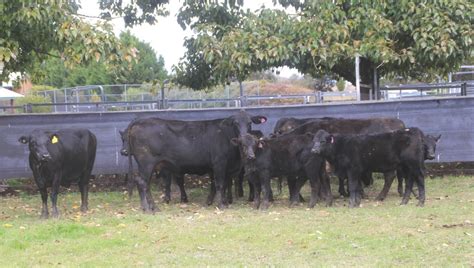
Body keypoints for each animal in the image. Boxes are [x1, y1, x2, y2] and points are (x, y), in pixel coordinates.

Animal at [122, 111, 266, 211]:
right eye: (235, 123)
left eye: (250, 123)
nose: (244, 136)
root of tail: (140, 121)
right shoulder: (219, 163)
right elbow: (220, 184)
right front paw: (221, 205)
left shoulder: (223, 167)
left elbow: (221, 184)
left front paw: (219, 202)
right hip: (146, 163)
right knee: (142, 183)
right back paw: (148, 208)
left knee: (145, 184)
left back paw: (153, 207)